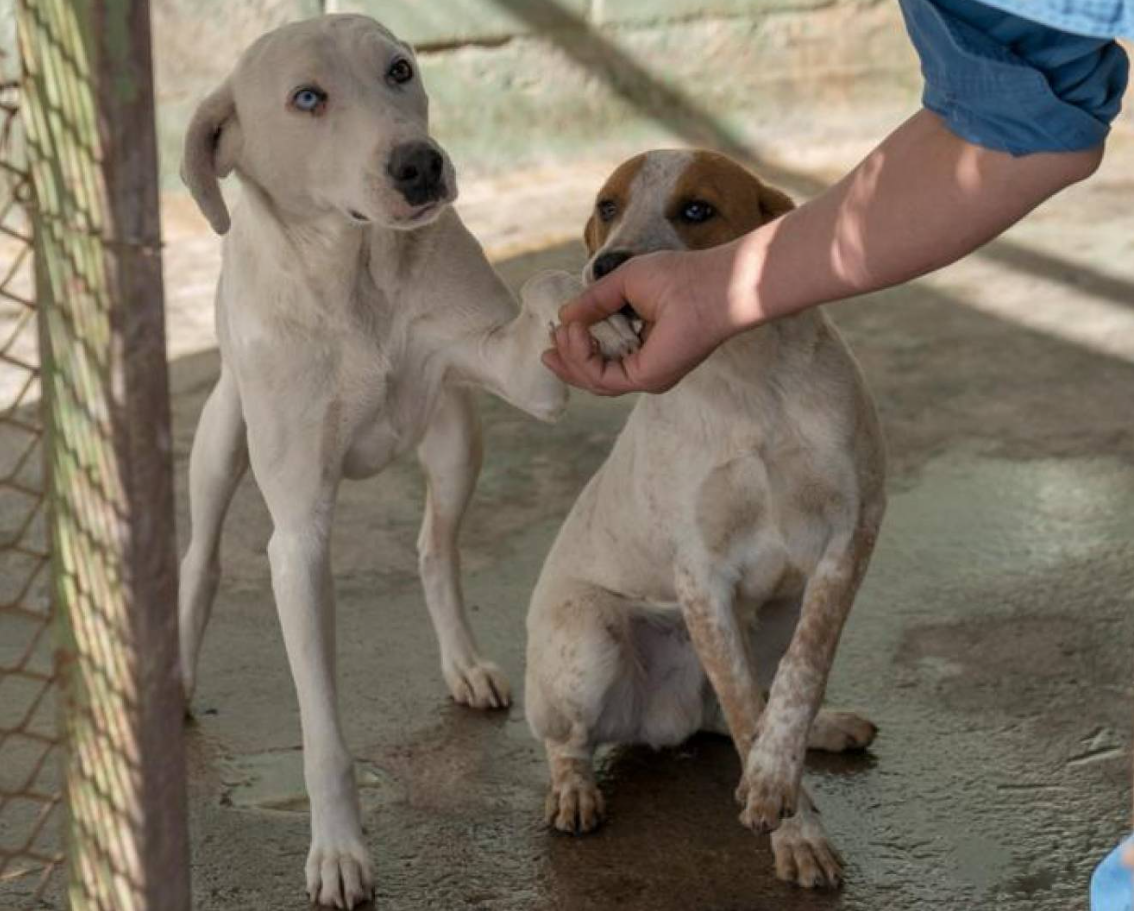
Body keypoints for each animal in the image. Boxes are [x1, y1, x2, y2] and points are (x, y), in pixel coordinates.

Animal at [177, 15, 626, 908]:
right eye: (306, 98)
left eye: (400, 70)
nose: (420, 164)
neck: (357, 275)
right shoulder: (299, 539)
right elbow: (322, 731)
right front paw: (338, 850)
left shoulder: (520, 376)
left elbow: (549, 286)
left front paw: (602, 306)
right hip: (218, 445)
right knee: (200, 557)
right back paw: (174, 679)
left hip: (456, 441)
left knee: (433, 547)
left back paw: (464, 663)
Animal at [525, 149, 887, 889]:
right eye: (607, 206)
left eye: (697, 210)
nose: (608, 266)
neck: (747, 383)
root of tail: (669, 719)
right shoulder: (702, 577)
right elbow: (752, 713)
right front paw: (796, 833)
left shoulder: (850, 535)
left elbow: (799, 678)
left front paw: (781, 778)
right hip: (590, 634)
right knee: (570, 740)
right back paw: (574, 789)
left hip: (774, 612)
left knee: (736, 706)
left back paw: (822, 730)